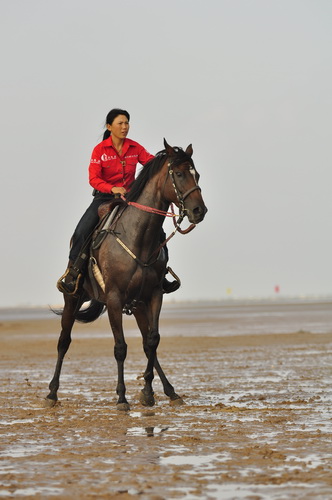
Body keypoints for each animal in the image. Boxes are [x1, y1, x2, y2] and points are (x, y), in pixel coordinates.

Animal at [46, 140, 208, 410]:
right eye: (178, 173)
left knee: (146, 343)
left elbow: (153, 341)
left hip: (139, 305)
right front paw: (122, 398)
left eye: (197, 174)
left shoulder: (153, 296)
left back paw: (169, 391)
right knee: (63, 341)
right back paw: (52, 393)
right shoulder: (114, 298)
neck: (138, 236)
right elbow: (120, 347)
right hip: (73, 297)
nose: (199, 210)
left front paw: (148, 392)